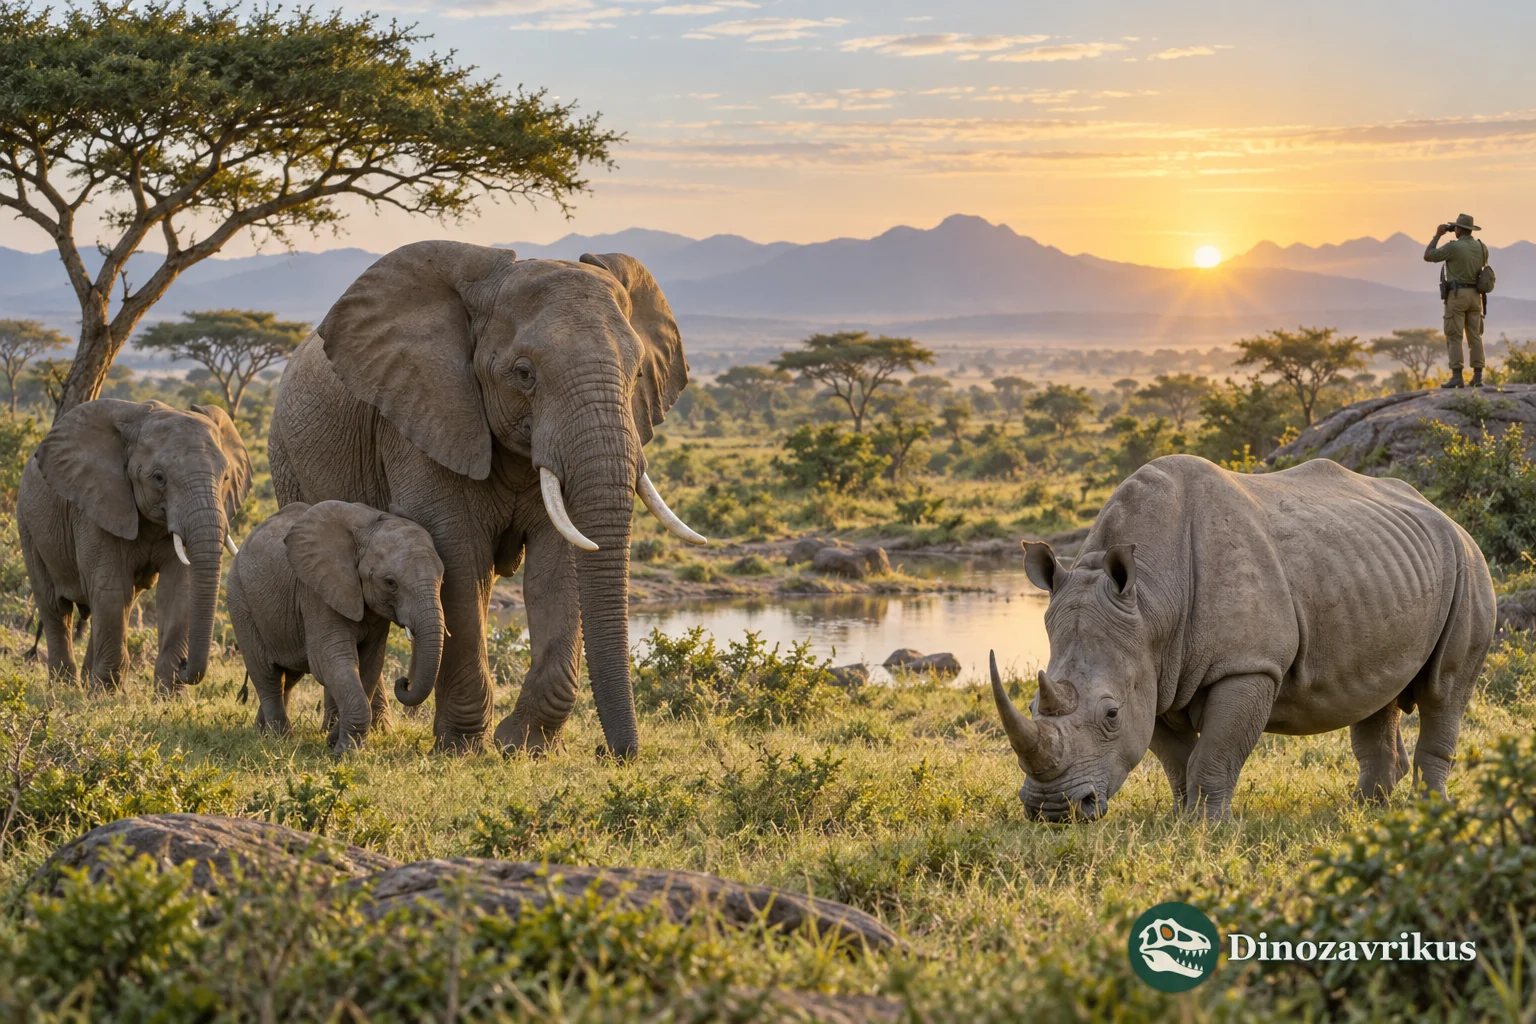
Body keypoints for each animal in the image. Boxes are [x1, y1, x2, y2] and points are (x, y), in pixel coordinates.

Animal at [17, 399, 252, 690]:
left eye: (226, 478)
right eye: (158, 478)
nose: (185, 665)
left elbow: (178, 590)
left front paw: (169, 694)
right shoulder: (97, 503)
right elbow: (111, 588)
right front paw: (106, 695)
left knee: (121, 601)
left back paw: (87, 681)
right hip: (27, 523)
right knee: (56, 607)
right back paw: (65, 688)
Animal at [226, 500, 445, 752]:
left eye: (442, 579)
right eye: (391, 583)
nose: (404, 682)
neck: (368, 526)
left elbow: (370, 665)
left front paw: (334, 741)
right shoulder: (316, 593)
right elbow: (330, 661)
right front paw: (345, 752)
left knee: (288, 677)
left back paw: (261, 732)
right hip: (239, 600)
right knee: (266, 673)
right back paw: (279, 738)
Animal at [268, 241, 705, 756]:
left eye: (637, 373)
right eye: (524, 373)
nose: (613, 754)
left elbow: (559, 566)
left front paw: (525, 747)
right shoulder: (424, 417)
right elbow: (459, 562)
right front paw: (461, 748)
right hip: (286, 457)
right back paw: (361, 731)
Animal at [991, 455, 1495, 821]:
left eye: (1110, 714)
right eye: (1030, 706)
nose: (1052, 810)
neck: (1150, 603)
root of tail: (1447, 516)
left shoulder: (1247, 665)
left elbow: (1215, 752)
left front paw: (1208, 827)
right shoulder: (1152, 672)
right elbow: (1177, 759)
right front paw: (1180, 820)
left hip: (1469, 566)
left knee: (1445, 691)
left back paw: (1426, 813)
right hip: (1380, 569)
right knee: (1376, 694)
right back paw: (1363, 812)